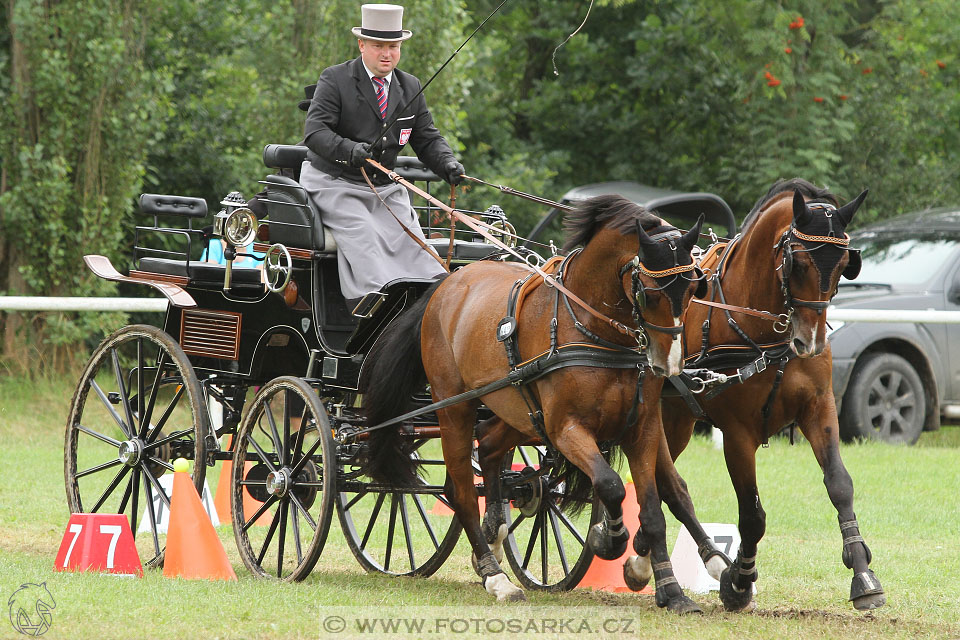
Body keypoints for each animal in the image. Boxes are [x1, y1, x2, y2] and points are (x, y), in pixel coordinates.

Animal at [360, 196, 704, 608]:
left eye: (692, 290)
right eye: (650, 293)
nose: (668, 364)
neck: (595, 331)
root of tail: (447, 284)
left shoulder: (643, 427)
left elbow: (652, 507)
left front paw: (668, 589)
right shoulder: (565, 428)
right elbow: (611, 485)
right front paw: (609, 537)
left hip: (516, 410)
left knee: (489, 444)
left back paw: (494, 535)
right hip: (454, 408)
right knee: (460, 490)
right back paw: (496, 577)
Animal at [660, 179, 884, 608]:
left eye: (843, 265)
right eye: (799, 264)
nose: (809, 343)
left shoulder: (819, 408)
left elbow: (840, 485)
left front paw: (863, 573)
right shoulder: (737, 433)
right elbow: (752, 515)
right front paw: (739, 581)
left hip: (677, 421)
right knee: (660, 481)